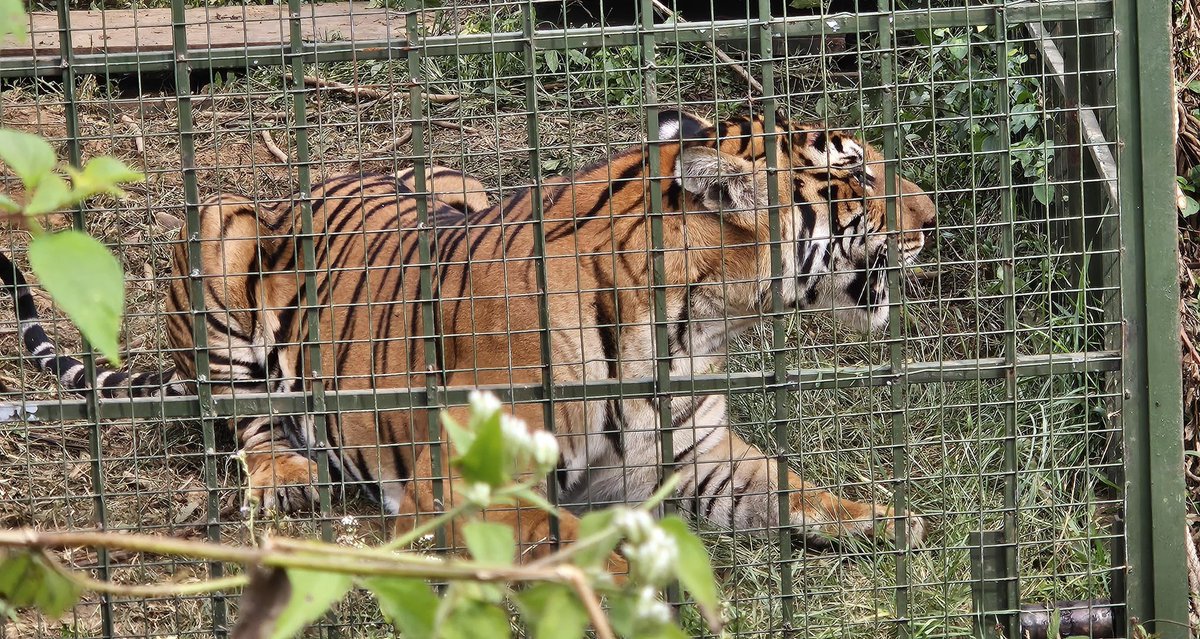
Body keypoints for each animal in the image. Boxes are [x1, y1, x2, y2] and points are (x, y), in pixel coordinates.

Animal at [0, 109, 937, 564]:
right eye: (856, 173)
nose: (935, 217)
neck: (693, 323)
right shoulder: (464, 486)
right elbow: (563, 548)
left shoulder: (700, 456)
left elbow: (794, 488)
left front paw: (889, 519)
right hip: (217, 225)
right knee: (244, 412)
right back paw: (287, 478)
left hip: (457, 179)